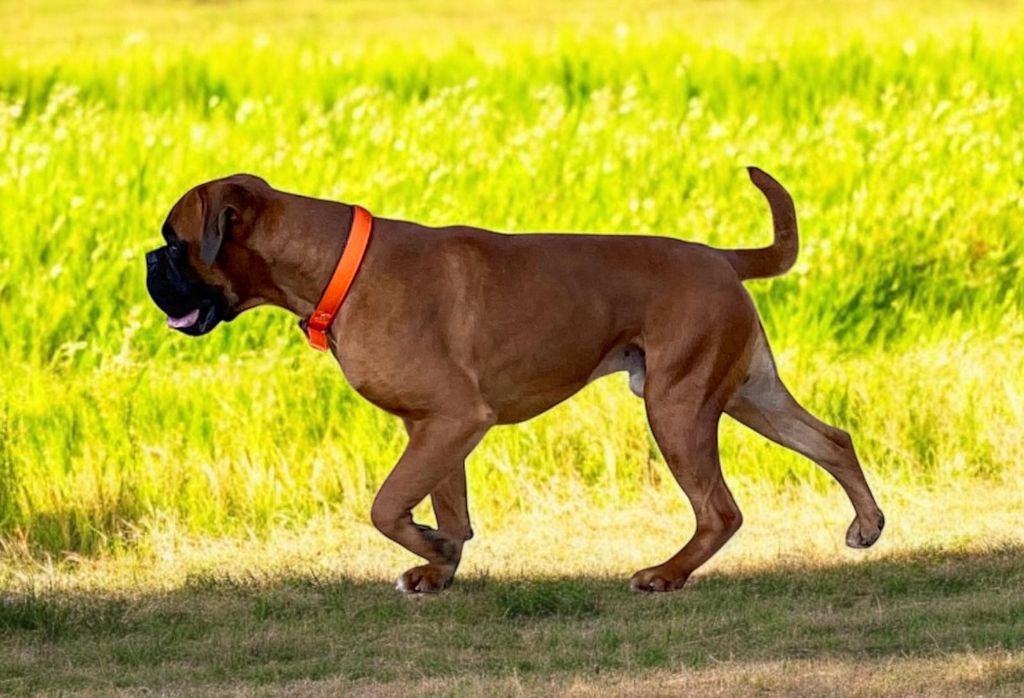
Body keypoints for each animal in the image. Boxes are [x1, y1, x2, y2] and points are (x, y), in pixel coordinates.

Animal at [142, 168, 880, 593]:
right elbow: (445, 504)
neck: (336, 266)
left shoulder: (455, 420)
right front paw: (438, 567)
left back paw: (665, 575)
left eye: (175, 242)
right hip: (746, 395)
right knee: (832, 440)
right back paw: (868, 526)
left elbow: (387, 504)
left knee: (720, 510)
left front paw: (434, 550)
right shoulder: (432, 429)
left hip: (678, 407)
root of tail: (721, 258)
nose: (146, 260)